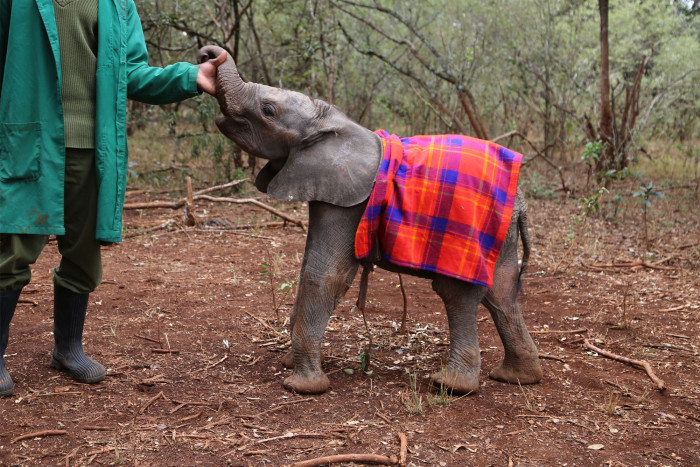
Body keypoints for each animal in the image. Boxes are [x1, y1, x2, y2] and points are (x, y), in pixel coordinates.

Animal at [198, 45, 542, 395]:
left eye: (268, 110)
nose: (211, 54)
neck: (335, 126)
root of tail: (521, 201)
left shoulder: (351, 200)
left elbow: (325, 274)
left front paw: (301, 386)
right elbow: (308, 266)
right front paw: (289, 364)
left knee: (457, 292)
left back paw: (451, 385)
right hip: (502, 231)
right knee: (501, 293)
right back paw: (516, 377)